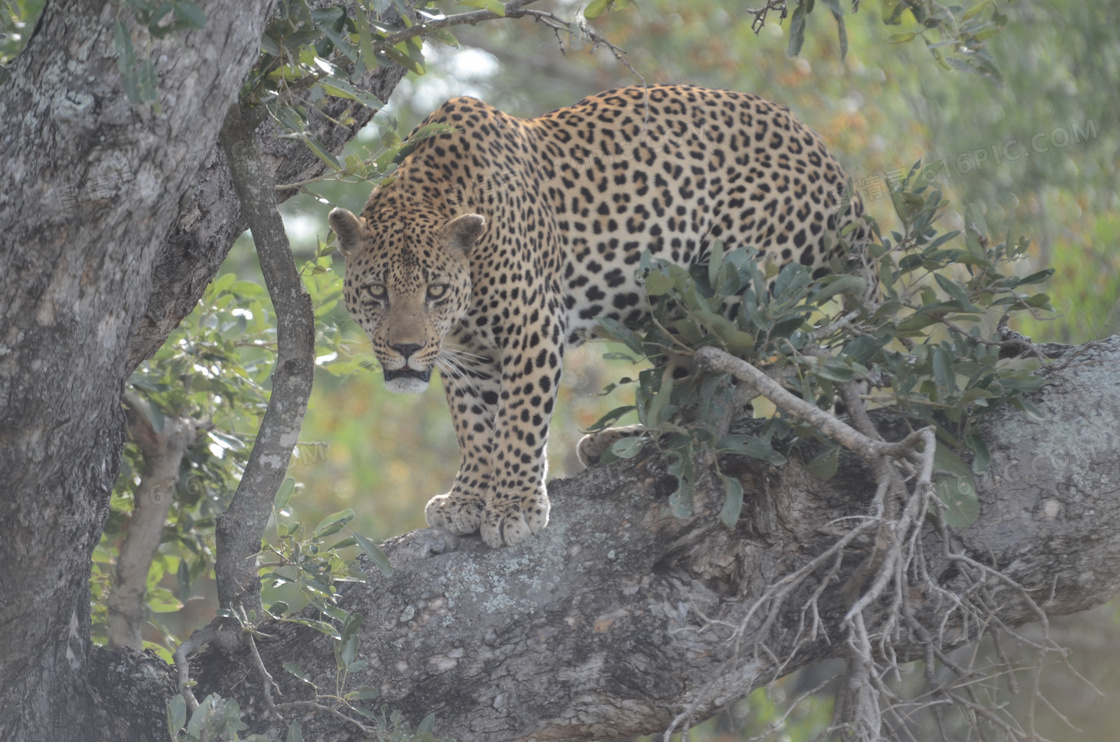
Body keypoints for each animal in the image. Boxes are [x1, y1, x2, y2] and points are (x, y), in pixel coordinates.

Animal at [327, 84, 869, 549]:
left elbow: (519, 421)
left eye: (435, 291)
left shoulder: (533, 324)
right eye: (376, 292)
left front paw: (512, 507)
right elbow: (476, 426)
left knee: (722, 399)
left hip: (731, 285)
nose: (406, 349)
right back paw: (617, 443)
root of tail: (834, 166)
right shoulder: (466, 354)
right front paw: (468, 497)